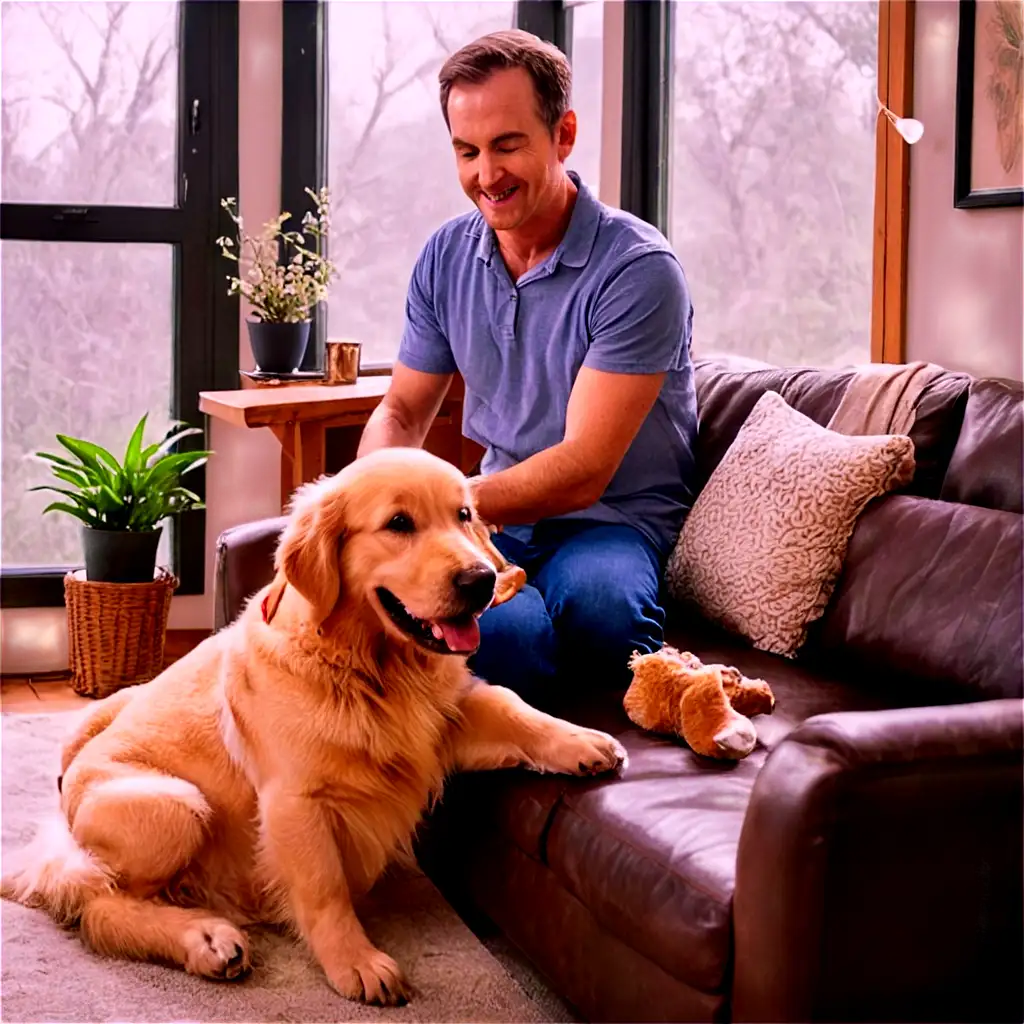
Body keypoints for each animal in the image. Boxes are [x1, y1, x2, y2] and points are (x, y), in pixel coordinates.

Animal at [2, 446, 622, 999]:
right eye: (399, 523)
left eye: (463, 515)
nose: (481, 581)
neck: (372, 669)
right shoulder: (295, 800)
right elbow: (325, 889)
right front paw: (357, 962)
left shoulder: (444, 715)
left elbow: (511, 705)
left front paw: (584, 740)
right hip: (175, 806)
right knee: (99, 906)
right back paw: (206, 939)